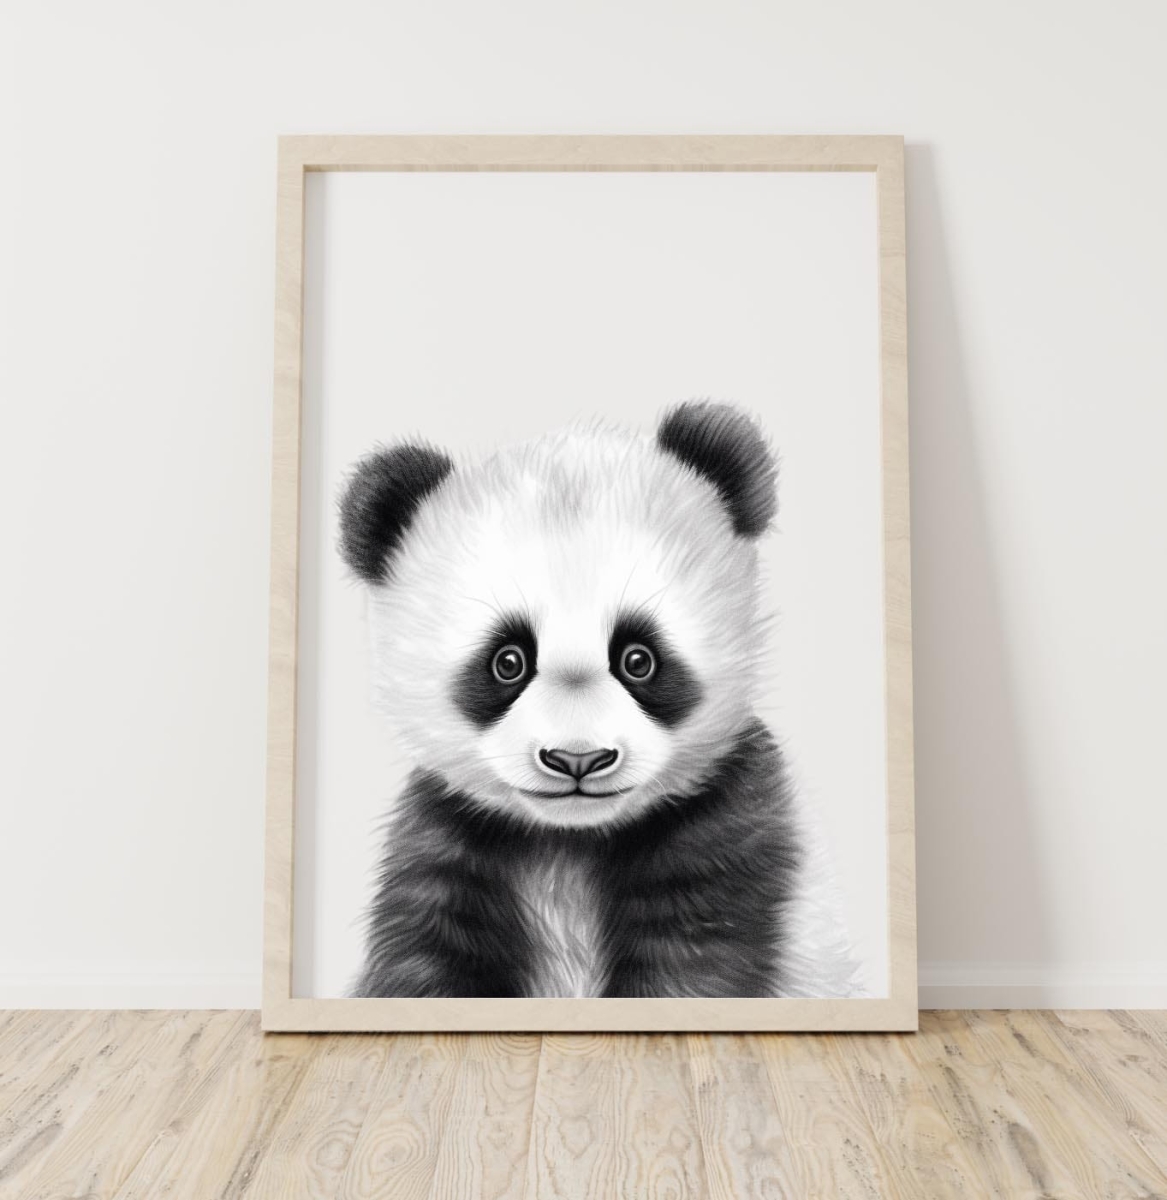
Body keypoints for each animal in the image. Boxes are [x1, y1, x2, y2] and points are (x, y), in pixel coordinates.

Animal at [339, 400, 863, 999]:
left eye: (639, 659)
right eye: (507, 662)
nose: (578, 760)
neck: (571, 841)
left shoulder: (731, 829)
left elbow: (695, 964)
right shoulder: (446, 839)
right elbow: (423, 964)